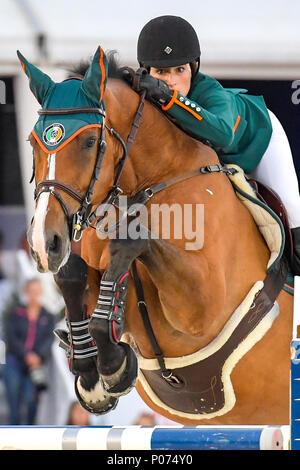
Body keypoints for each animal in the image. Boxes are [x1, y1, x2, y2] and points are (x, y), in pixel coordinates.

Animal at [18, 46, 292, 424]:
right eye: (32, 142)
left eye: (89, 141)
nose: (44, 244)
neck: (148, 183)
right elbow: (73, 274)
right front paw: (92, 376)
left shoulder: (202, 306)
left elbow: (131, 241)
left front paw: (113, 365)